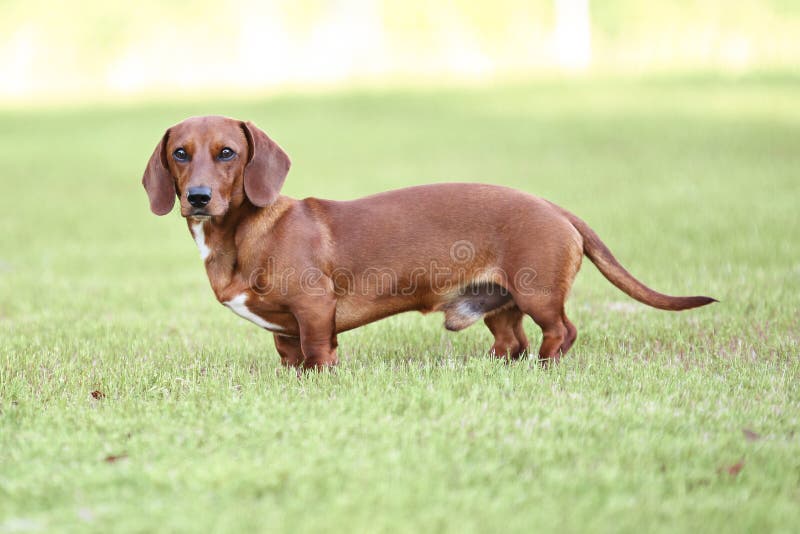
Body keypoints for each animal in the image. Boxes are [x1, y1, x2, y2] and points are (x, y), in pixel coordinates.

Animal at [141, 115, 716, 370]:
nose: (197, 198)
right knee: (512, 341)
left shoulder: (314, 308)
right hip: (498, 304)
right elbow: (290, 356)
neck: (242, 234)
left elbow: (318, 352)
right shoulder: (283, 330)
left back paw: (545, 366)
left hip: (538, 294)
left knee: (561, 332)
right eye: (180, 153)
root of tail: (556, 207)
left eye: (228, 153)